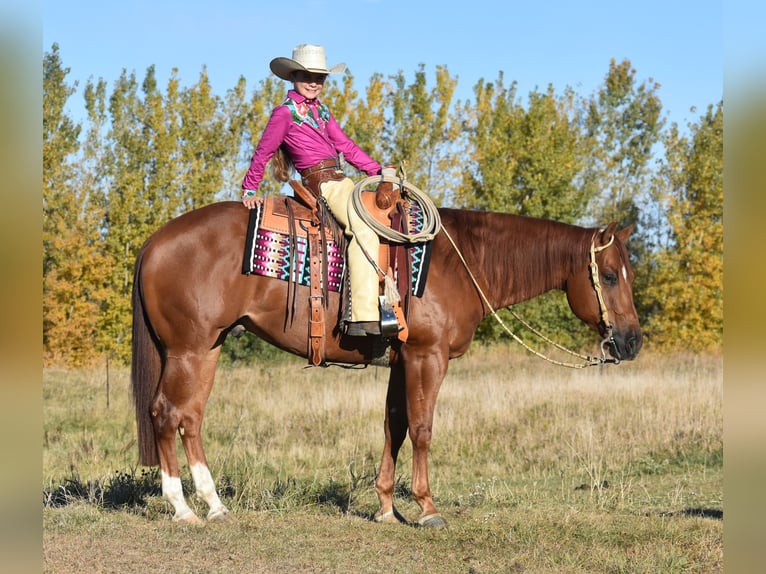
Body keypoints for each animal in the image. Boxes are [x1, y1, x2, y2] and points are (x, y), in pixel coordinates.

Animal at [130, 200, 640, 528]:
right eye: (609, 275)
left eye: (626, 274)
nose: (631, 341)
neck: (463, 262)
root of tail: (154, 241)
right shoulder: (427, 356)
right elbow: (422, 427)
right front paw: (427, 508)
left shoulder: (401, 360)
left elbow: (394, 425)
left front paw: (385, 507)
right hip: (189, 350)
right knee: (166, 414)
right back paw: (183, 509)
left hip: (208, 350)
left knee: (190, 418)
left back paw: (214, 505)